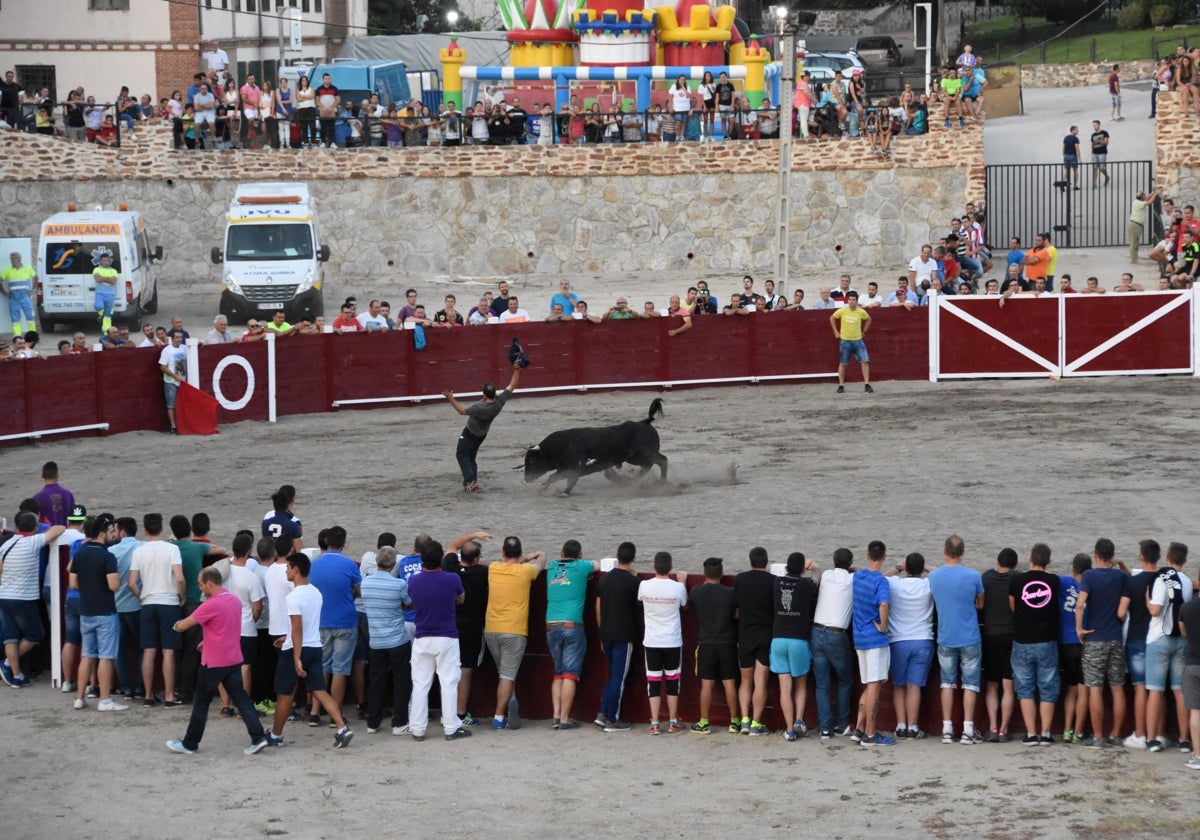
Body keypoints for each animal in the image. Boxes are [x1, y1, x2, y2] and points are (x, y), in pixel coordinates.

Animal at [523, 398, 672, 494]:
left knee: (659, 462)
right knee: (655, 462)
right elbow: (554, 478)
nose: (526, 479)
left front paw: (564, 492)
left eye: (532, 460)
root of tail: (645, 422)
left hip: (642, 455)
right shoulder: (566, 469)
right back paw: (634, 480)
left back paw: (658, 482)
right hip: (636, 457)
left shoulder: (573, 469)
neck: (557, 448)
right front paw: (544, 488)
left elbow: (560, 478)